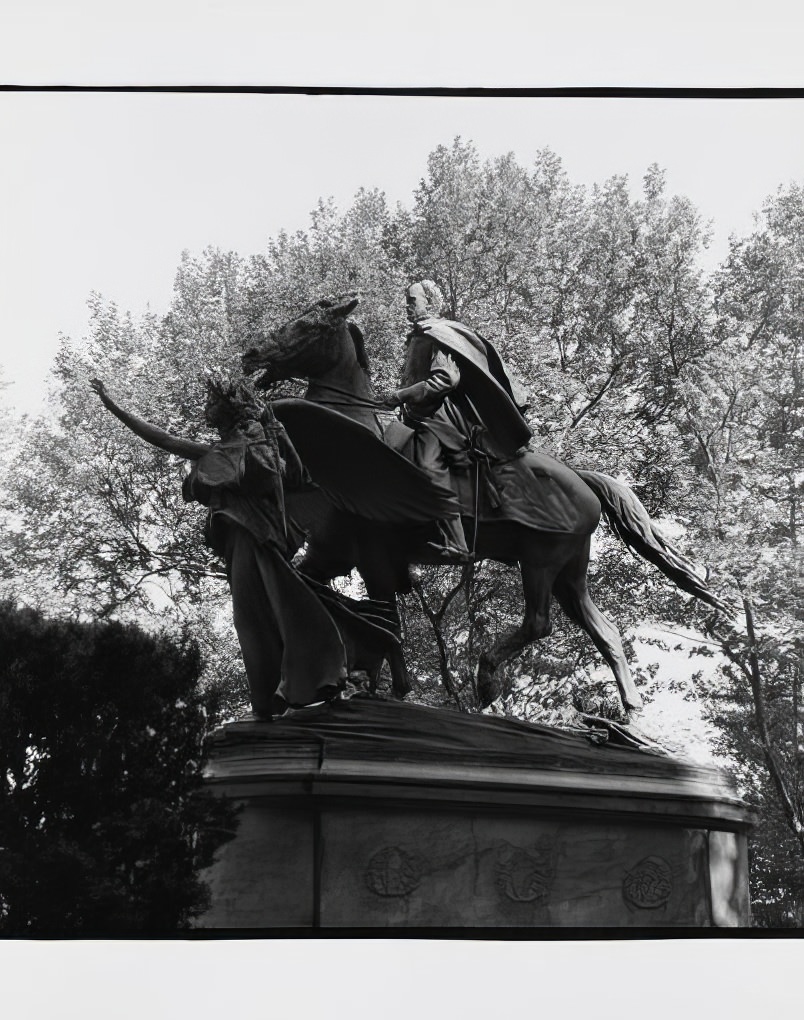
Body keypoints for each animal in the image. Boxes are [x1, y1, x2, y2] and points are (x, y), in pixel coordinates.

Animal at [239, 297, 730, 718]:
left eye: (309, 324)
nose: (251, 352)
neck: (350, 443)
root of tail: (582, 479)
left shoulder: (373, 557)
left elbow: (388, 620)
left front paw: (386, 690)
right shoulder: (333, 551)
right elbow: (318, 588)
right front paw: (350, 680)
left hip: (540, 559)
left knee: (538, 624)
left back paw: (487, 677)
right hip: (570, 570)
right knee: (603, 631)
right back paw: (631, 716)